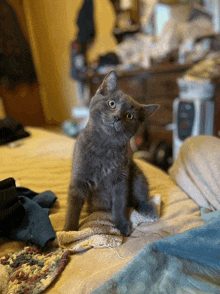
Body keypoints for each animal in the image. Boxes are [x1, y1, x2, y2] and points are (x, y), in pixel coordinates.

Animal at [64, 69, 159, 237]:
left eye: (129, 116)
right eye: (111, 103)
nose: (117, 117)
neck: (104, 146)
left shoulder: (120, 181)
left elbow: (119, 205)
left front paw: (121, 224)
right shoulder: (79, 180)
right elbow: (73, 208)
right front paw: (69, 231)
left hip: (137, 175)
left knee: (138, 199)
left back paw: (148, 209)